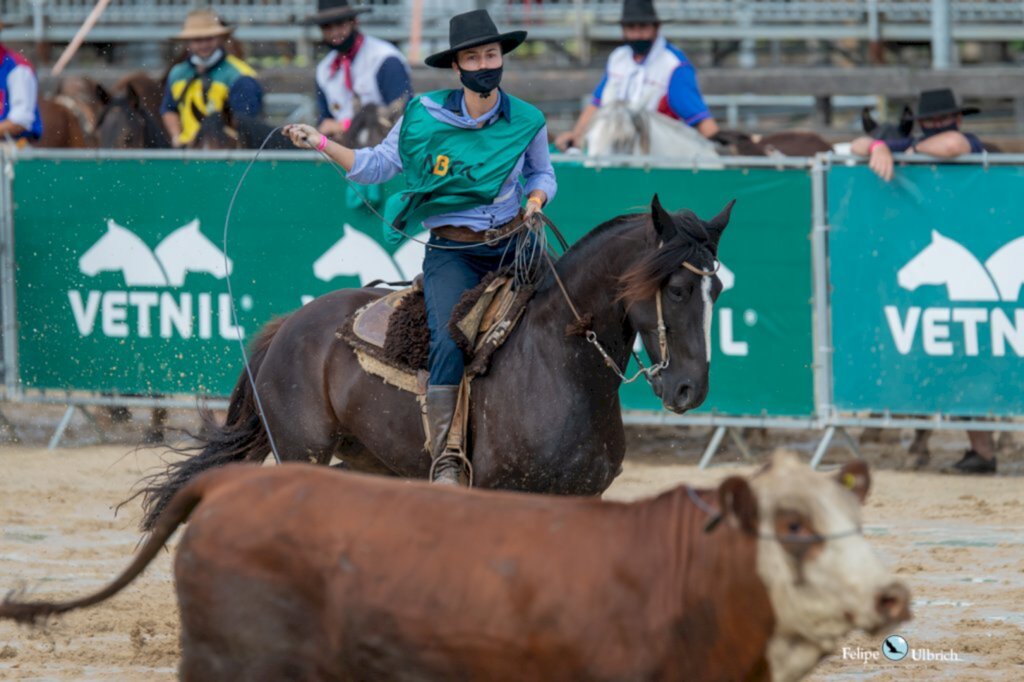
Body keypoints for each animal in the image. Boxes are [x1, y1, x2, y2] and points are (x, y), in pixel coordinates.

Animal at [132, 193, 733, 528]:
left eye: (719, 290)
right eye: (678, 288)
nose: (691, 390)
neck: (558, 362)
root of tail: (290, 327)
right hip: (303, 452)